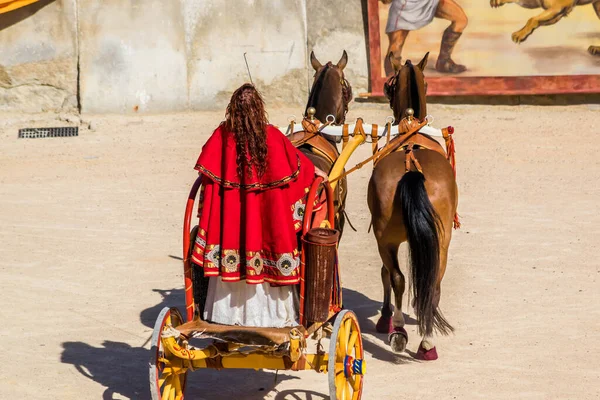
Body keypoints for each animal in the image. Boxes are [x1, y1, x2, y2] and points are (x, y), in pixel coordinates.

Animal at [368, 52, 458, 360]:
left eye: (389, 85)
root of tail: (411, 166)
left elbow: (386, 274)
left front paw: (385, 318)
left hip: (390, 239)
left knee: (398, 277)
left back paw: (403, 332)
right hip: (438, 240)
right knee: (428, 283)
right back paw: (422, 340)